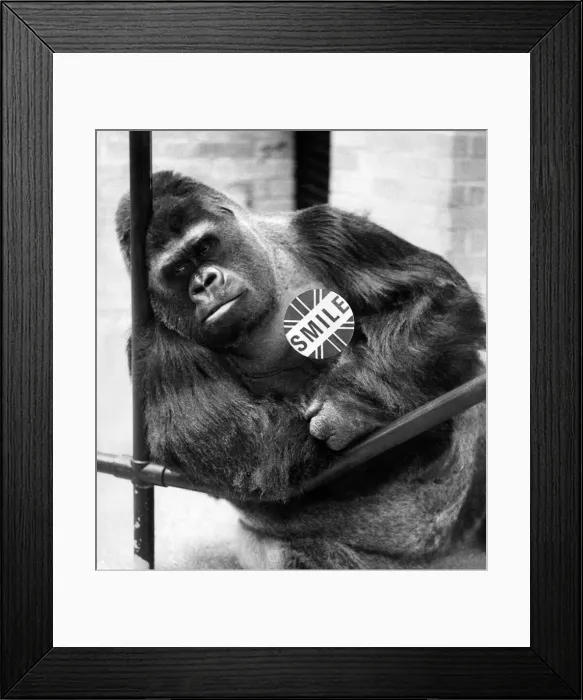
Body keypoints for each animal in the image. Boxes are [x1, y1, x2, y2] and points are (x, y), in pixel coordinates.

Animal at [115, 170, 486, 569]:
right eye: (178, 270)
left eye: (204, 248)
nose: (203, 283)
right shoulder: (153, 345)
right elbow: (253, 448)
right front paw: (358, 411)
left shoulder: (327, 227)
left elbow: (434, 294)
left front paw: (354, 403)